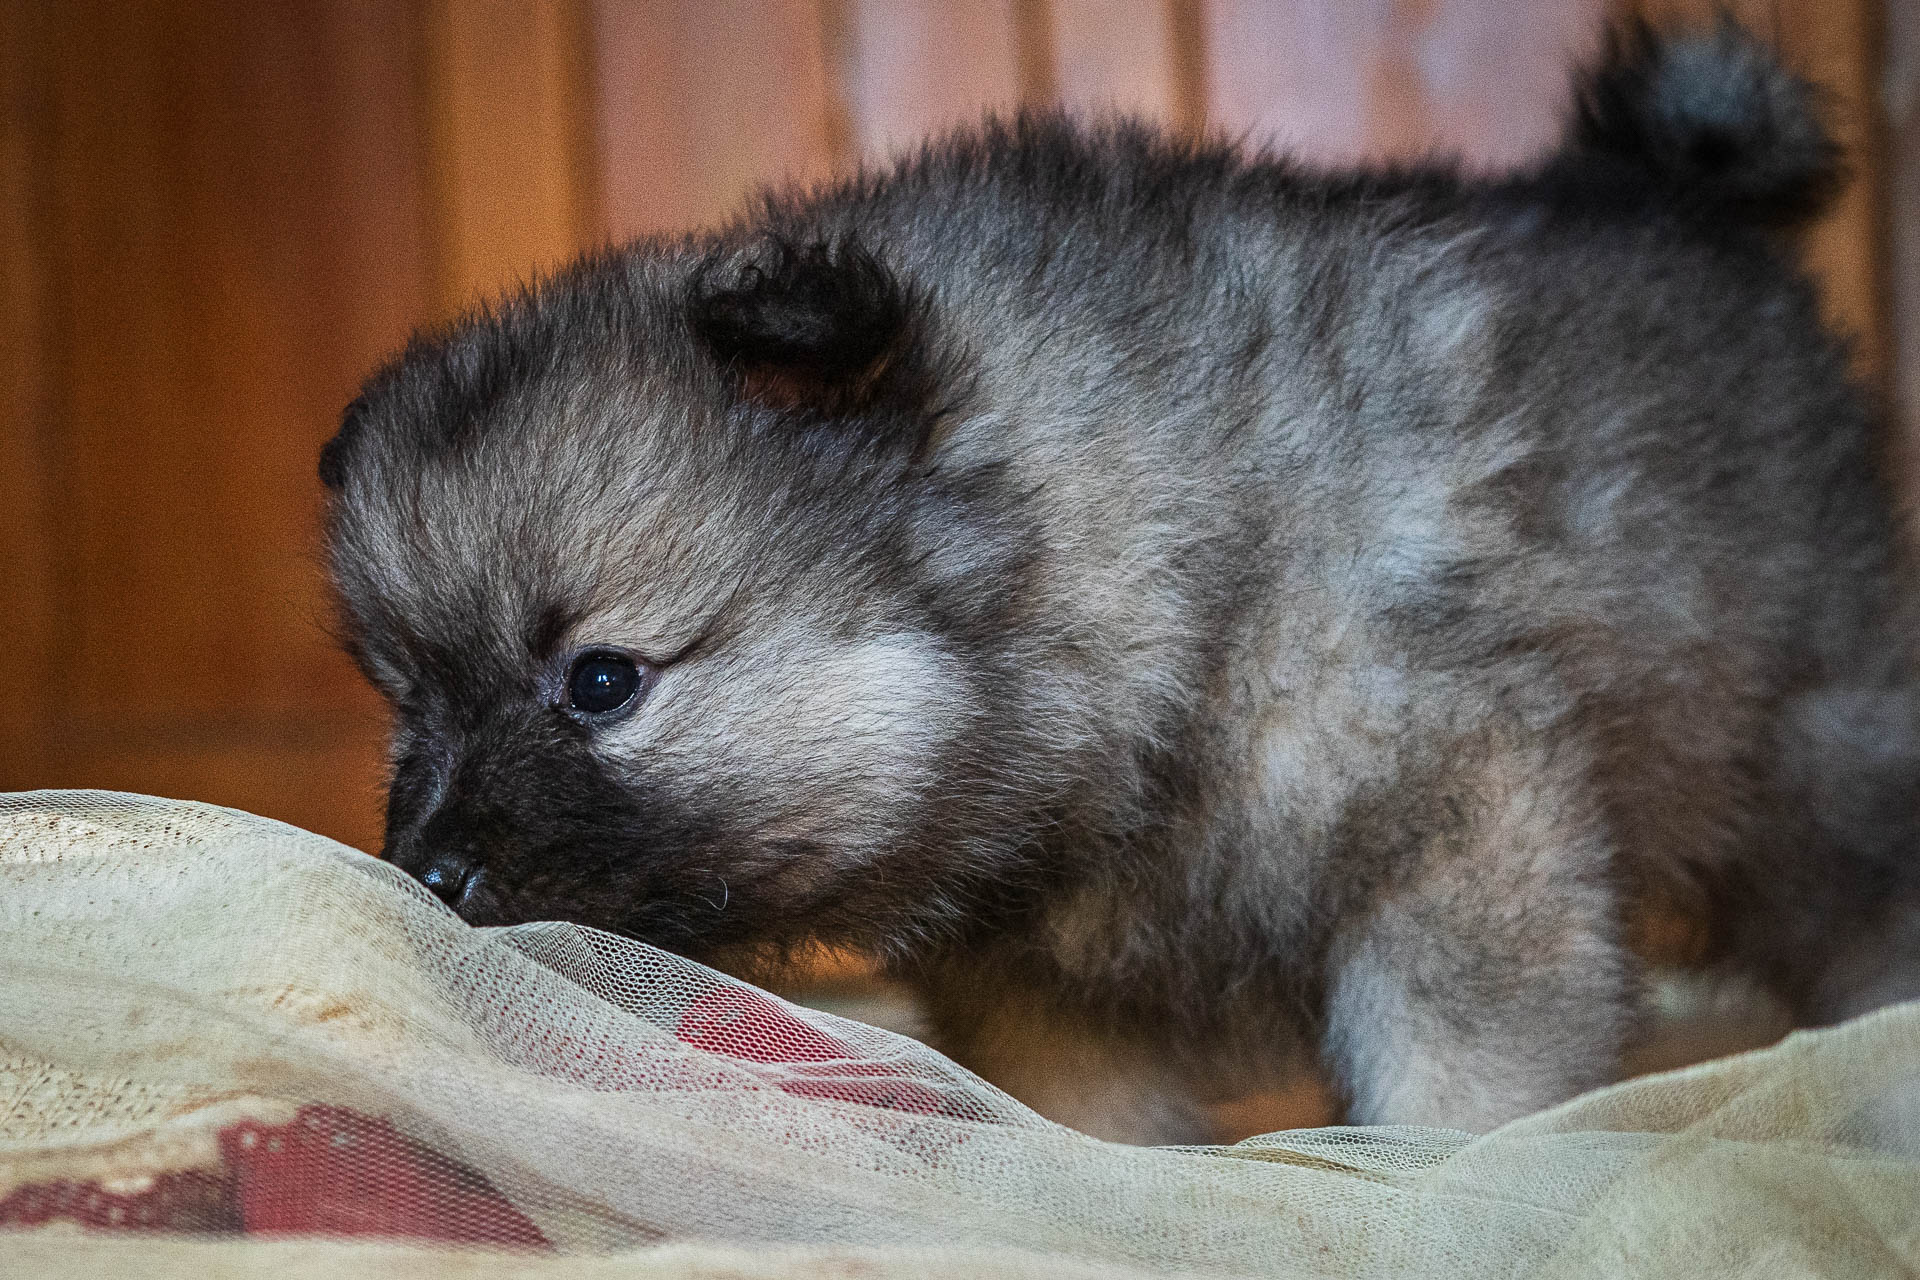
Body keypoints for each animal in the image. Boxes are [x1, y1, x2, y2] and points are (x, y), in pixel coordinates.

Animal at [322, 22, 1920, 1143]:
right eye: (407, 703)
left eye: (601, 683)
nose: (430, 869)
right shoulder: (1053, 988)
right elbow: (1087, 1122)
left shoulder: (1460, 832)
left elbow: (1460, 1084)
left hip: (1814, 761)